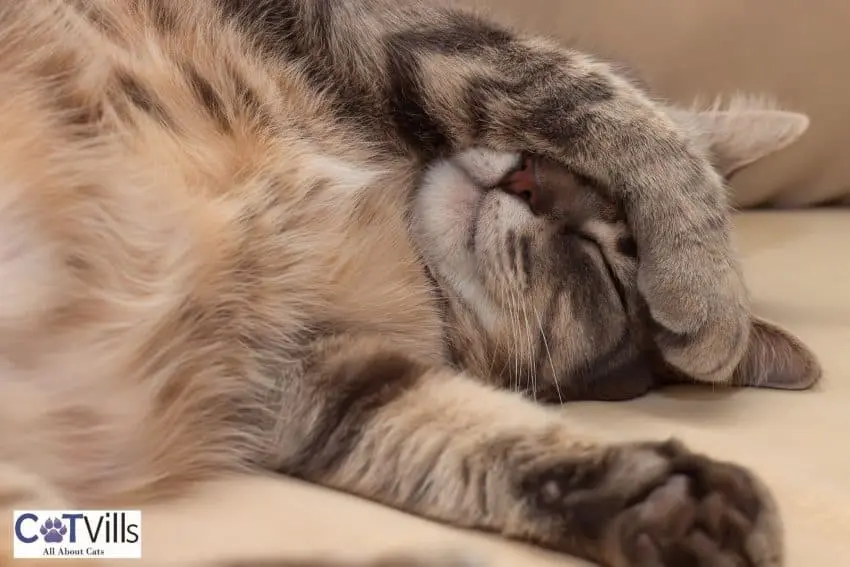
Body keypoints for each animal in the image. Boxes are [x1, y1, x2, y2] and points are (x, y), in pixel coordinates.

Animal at [0, 1, 820, 567]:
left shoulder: (303, 367)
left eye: (601, 267)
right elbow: (567, 83)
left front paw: (666, 504)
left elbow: (465, 440)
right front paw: (706, 273)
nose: (529, 179)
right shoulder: (358, 17)